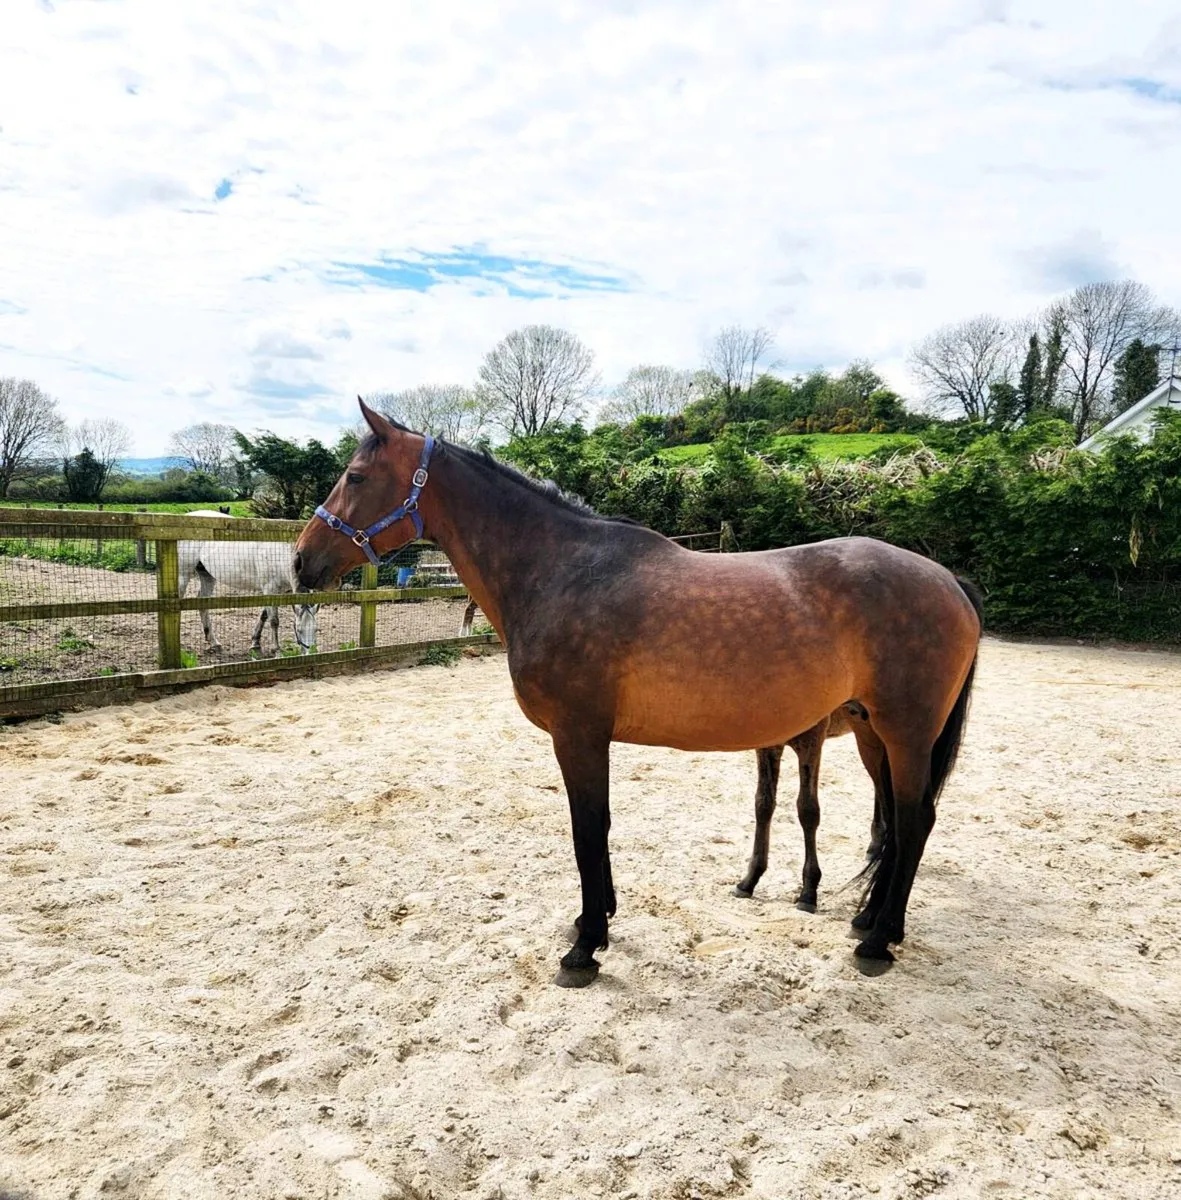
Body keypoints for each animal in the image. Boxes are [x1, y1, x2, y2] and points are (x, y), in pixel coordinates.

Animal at [179, 512, 318, 657]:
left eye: (315, 629)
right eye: (299, 630)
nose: (311, 654)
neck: (278, 554)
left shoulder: (276, 591)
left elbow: (264, 616)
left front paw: (255, 643)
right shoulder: (270, 589)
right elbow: (274, 621)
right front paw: (276, 650)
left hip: (207, 576)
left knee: (202, 603)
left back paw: (214, 642)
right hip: (182, 575)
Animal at [294, 399, 982, 985]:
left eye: (355, 476)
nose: (301, 561)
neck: (561, 571)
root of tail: (949, 580)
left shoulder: (578, 735)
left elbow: (587, 829)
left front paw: (584, 947)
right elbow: (595, 830)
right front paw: (594, 921)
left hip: (903, 732)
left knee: (914, 819)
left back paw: (877, 942)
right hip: (875, 734)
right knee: (899, 820)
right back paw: (871, 922)